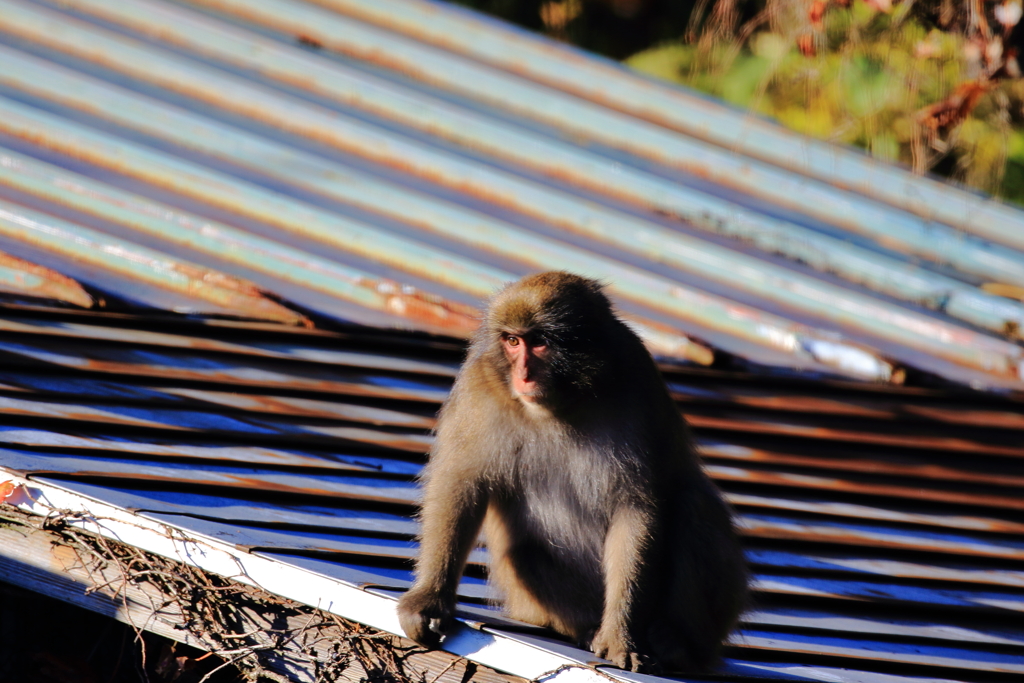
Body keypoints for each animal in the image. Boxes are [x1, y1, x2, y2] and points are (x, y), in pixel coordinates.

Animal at [397, 272, 745, 671]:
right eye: (513, 341)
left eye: (540, 343)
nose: (523, 375)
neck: (565, 402)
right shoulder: (478, 385)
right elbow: (461, 484)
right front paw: (429, 600)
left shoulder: (639, 381)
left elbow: (636, 506)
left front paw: (620, 636)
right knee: (521, 554)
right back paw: (588, 628)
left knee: (691, 506)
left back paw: (675, 642)